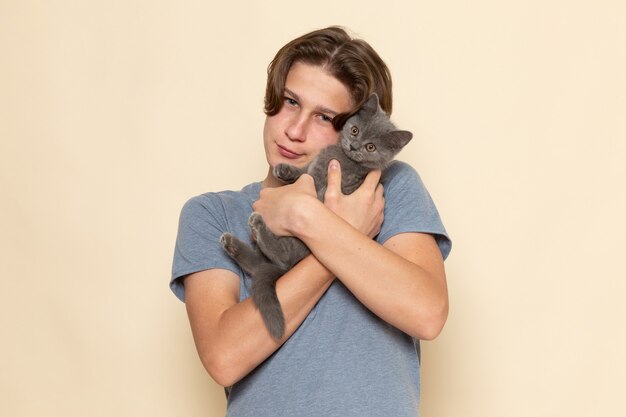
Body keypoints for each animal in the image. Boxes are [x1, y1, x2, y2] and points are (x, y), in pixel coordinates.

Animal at [217, 93, 412, 338]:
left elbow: (319, 195)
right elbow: (306, 173)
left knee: (282, 257)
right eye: (355, 130)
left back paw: (258, 226)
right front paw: (286, 170)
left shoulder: (344, 185)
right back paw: (232, 243)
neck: (340, 157)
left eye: (370, 147)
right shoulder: (314, 166)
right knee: (259, 265)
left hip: (297, 246)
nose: (354, 145)